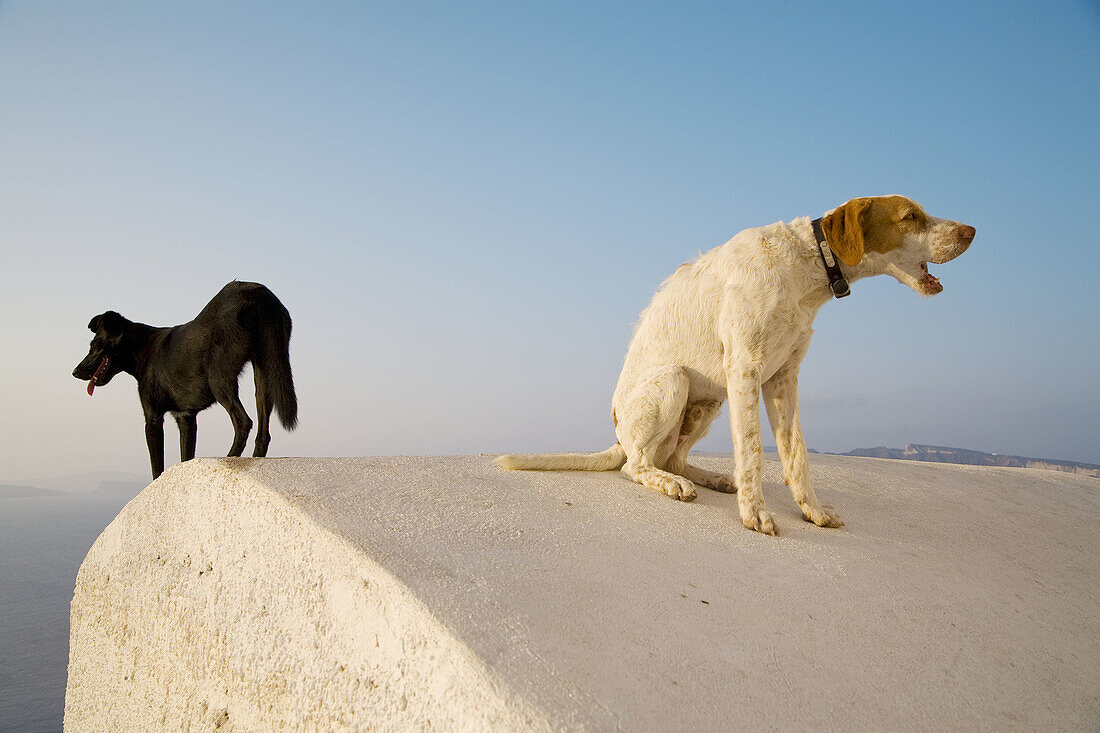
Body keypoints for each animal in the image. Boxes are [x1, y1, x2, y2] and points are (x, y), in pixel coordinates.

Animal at [73, 280, 299, 479]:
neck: (142, 347)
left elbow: (157, 466)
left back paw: (230, 457)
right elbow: (185, 455)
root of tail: (258, 292)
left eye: (94, 345)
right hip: (265, 371)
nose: (75, 372)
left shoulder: (153, 418)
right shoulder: (186, 418)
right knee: (263, 430)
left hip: (219, 379)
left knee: (244, 421)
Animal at [497, 197, 972, 534]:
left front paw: (814, 513)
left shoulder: (783, 379)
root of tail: (617, 436)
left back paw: (709, 478)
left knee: (673, 458)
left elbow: (796, 456)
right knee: (637, 465)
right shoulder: (746, 368)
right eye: (910, 216)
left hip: (708, 403)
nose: (972, 230)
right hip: (674, 381)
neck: (804, 265)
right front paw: (754, 514)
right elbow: (753, 452)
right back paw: (672, 484)